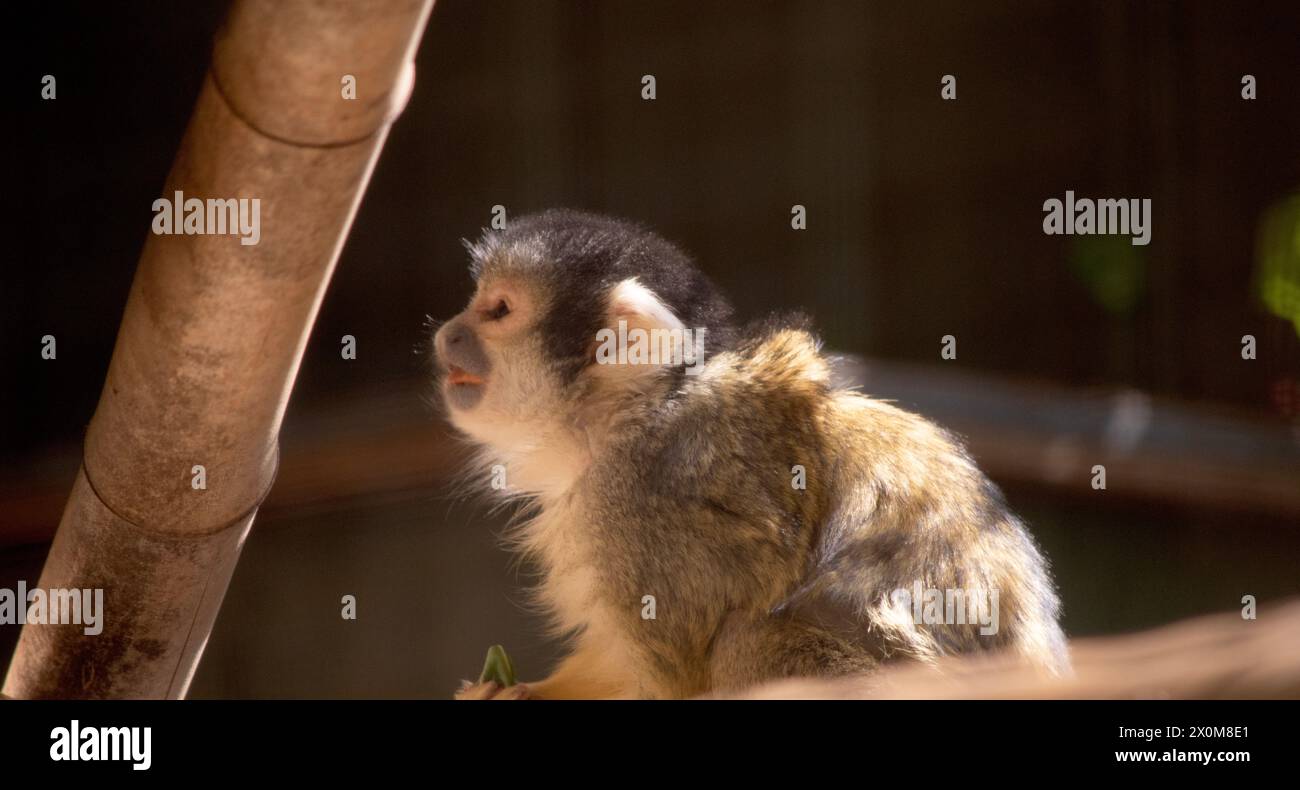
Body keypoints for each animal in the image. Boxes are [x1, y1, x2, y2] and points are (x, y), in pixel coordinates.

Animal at [436, 210, 1066, 696]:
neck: (635, 415)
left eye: (498, 310)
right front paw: (507, 690)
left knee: (752, 639)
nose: (446, 334)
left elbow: (674, 679)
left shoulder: (638, 508)